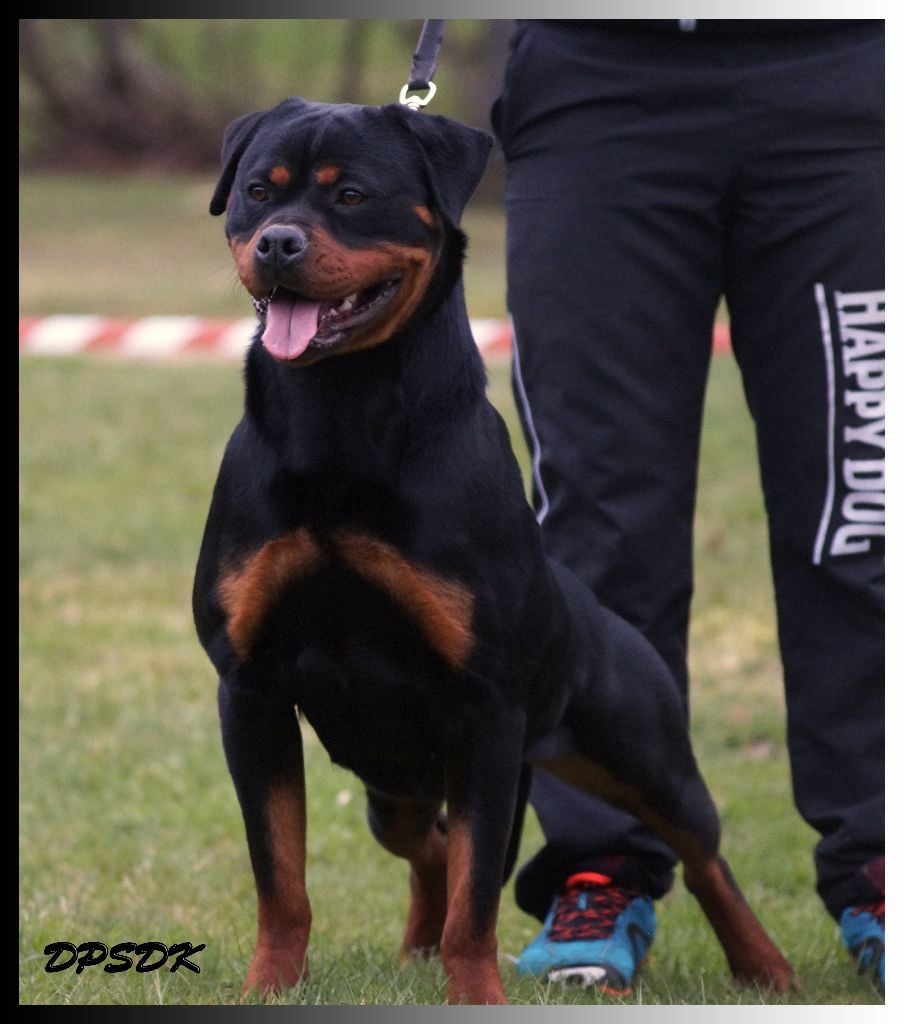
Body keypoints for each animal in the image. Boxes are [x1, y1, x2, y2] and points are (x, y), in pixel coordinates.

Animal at [193, 97, 796, 1004]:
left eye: (352, 195)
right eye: (258, 193)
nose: (277, 244)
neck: (339, 412)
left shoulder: (486, 710)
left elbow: (475, 898)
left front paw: (474, 994)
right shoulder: (252, 691)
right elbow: (283, 877)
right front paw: (270, 987)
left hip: (641, 753)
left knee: (701, 853)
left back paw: (764, 963)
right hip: (394, 782)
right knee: (430, 843)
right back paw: (415, 948)